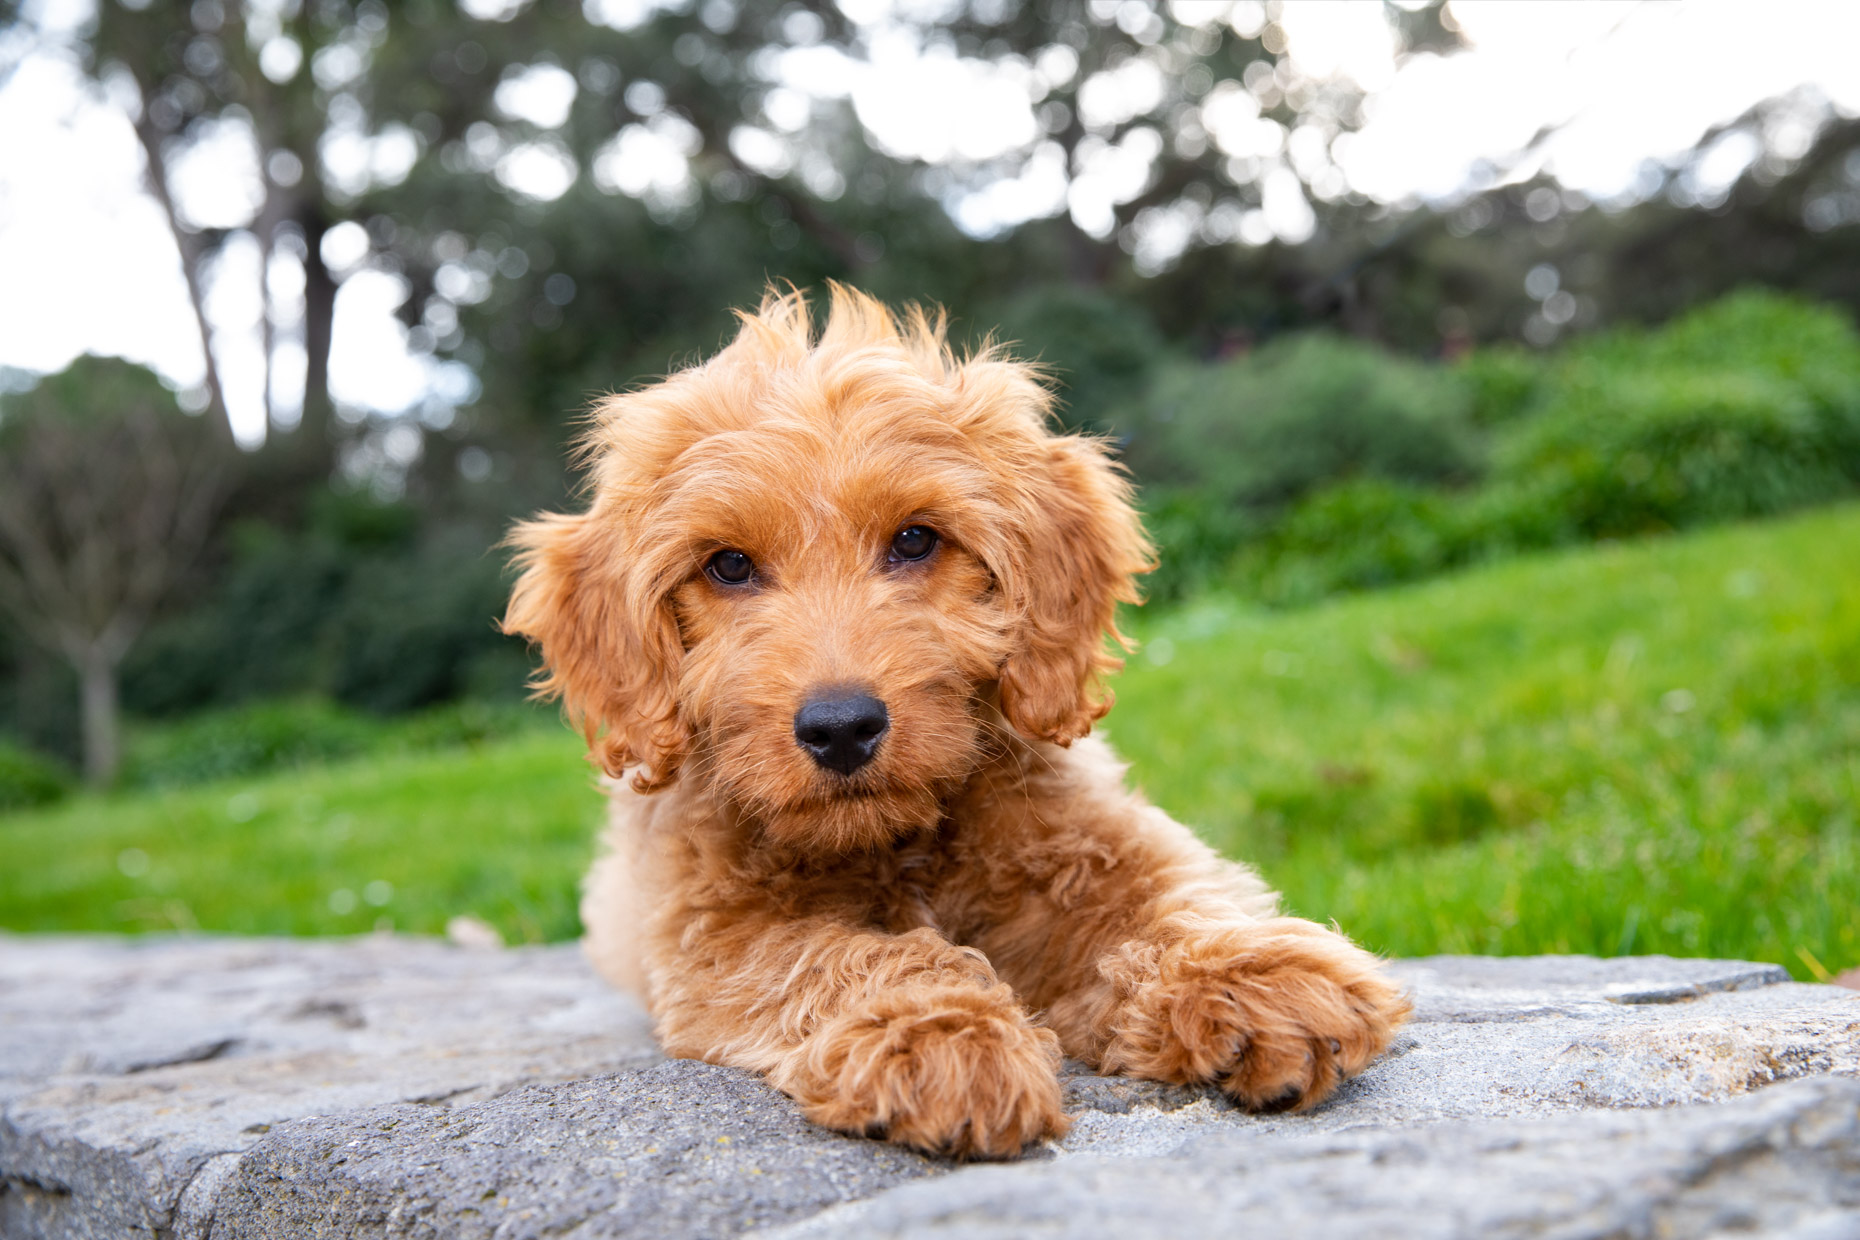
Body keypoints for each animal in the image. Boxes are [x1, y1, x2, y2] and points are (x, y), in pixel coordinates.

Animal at [509, 286, 1406, 1160]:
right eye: (728, 565)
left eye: (915, 540)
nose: (841, 728)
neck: (897, 843)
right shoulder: (713, 933)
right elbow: (839, 957)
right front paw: (942, 1038)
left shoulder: (1087, 839)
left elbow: (1163, 895)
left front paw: (1247, 975)